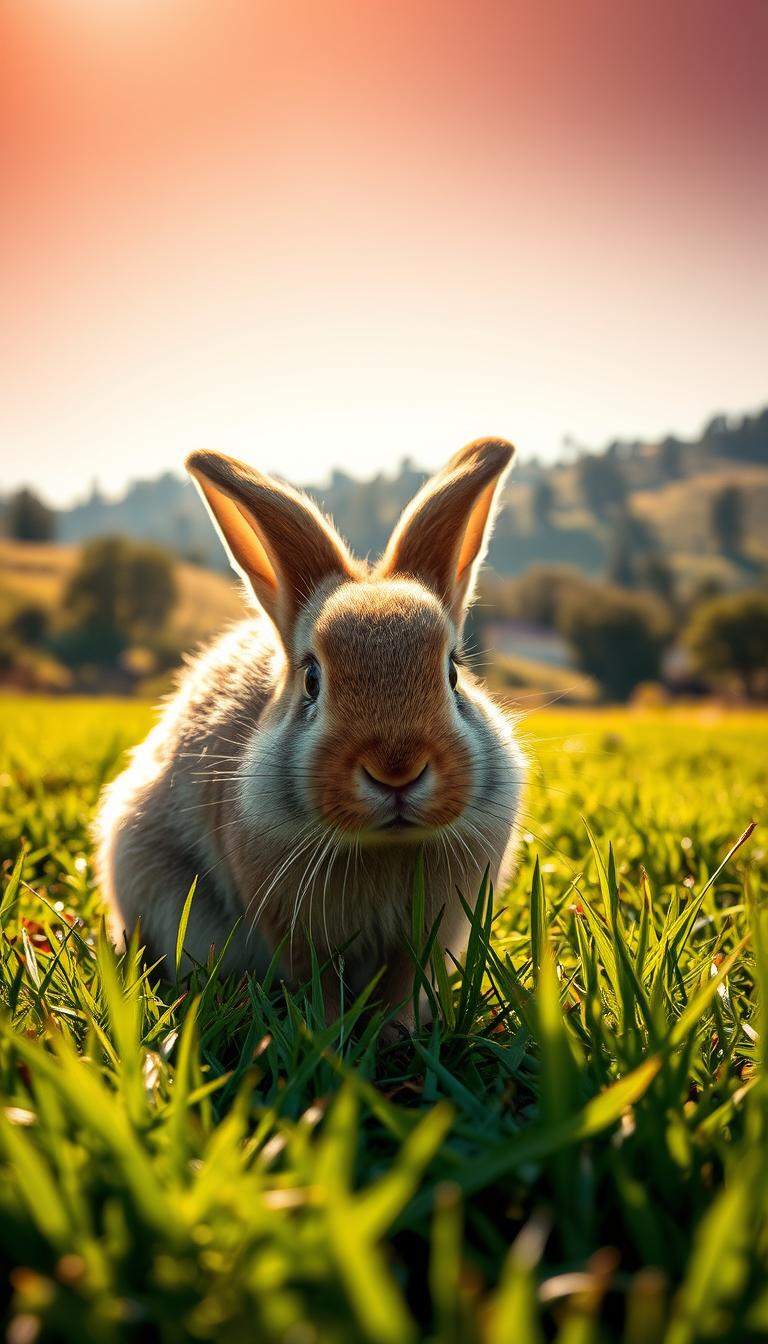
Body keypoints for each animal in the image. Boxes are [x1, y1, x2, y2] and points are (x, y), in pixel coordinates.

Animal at [95, 437, 526, 1028]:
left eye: (454, 673)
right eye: (312, 680)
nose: (396, 770)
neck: (381, 845)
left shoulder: (428, 935)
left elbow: (403, 983)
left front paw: (396, 1032)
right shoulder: (289, 926)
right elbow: (314, 980)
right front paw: (329, 1033)